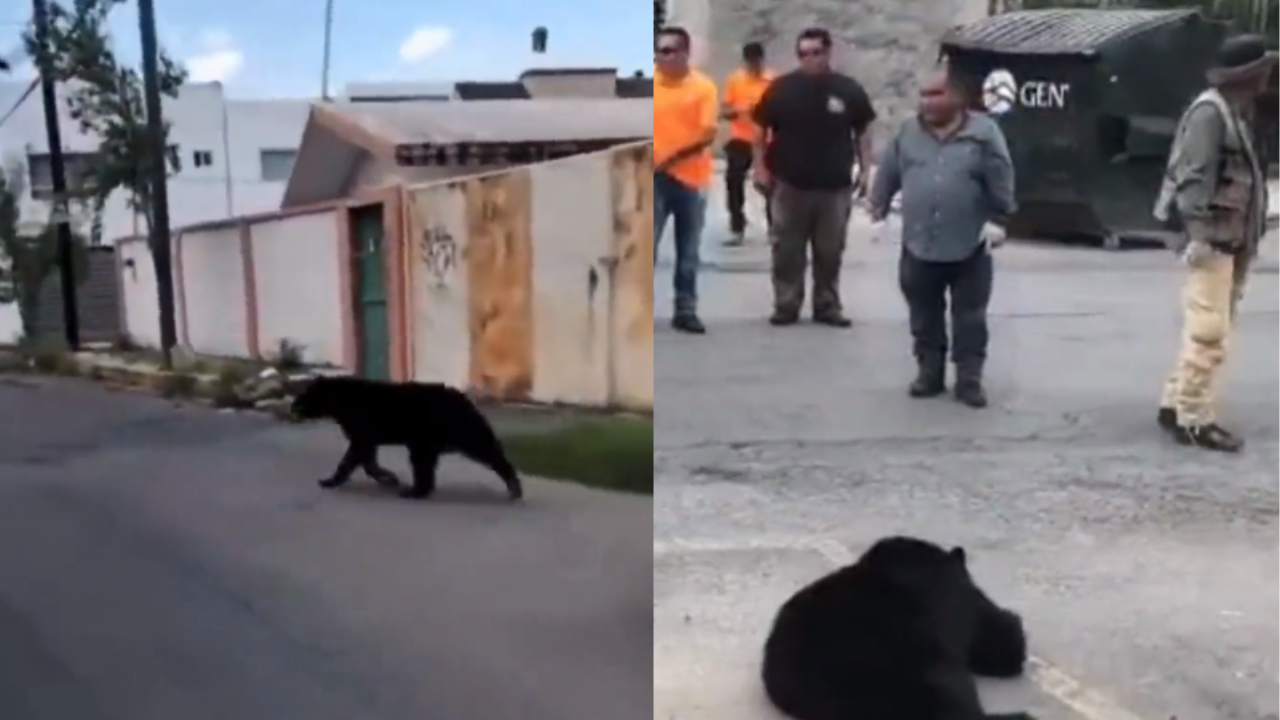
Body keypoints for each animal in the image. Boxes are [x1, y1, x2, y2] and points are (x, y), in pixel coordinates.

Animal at [293, 376, 522, 499]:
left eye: (305, 394)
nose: (293, 405)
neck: (341, 403)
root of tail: (466, 399)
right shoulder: (367, 437)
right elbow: (368, 460)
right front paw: (388, 477)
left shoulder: (362, 433)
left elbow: (350, 459)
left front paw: (329, 480)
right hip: (425, 440)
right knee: (425, 466)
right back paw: (415, 490)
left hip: (458, 433)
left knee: (489, 452)